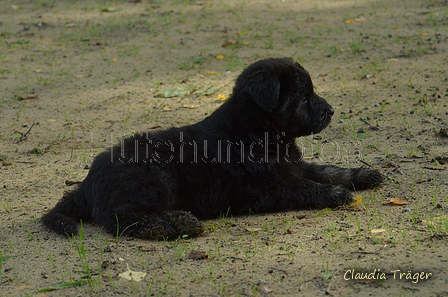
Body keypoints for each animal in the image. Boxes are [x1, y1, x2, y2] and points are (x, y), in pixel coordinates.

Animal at [43, 57, 382, 238]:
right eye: (305, 97)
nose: (332, 110)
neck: (256, 131)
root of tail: (85, 183)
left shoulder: (294, 166)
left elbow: (326, 169)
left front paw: (363, 175)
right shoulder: (267, 188)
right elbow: (306, 188)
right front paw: (335, 194)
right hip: (152, 179)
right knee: (120, 217)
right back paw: (174, 224)